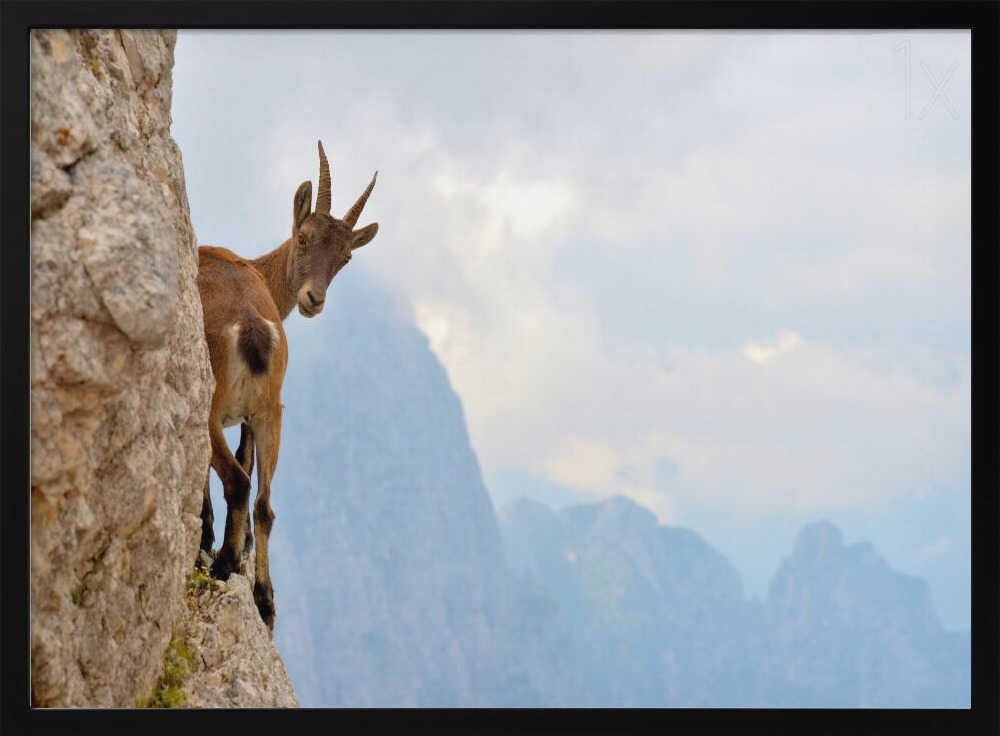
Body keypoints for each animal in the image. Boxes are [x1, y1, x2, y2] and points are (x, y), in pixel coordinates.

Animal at [196, 141, 378, 632]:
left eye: (345, 257)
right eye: (304, 238)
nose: (314, 299)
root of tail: (252, 327)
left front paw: (208, 537)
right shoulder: (249, 416)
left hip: (212, 409)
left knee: (238, 483)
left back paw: (223, 565)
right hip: (272, 411)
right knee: (265, 504)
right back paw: (264, 599)